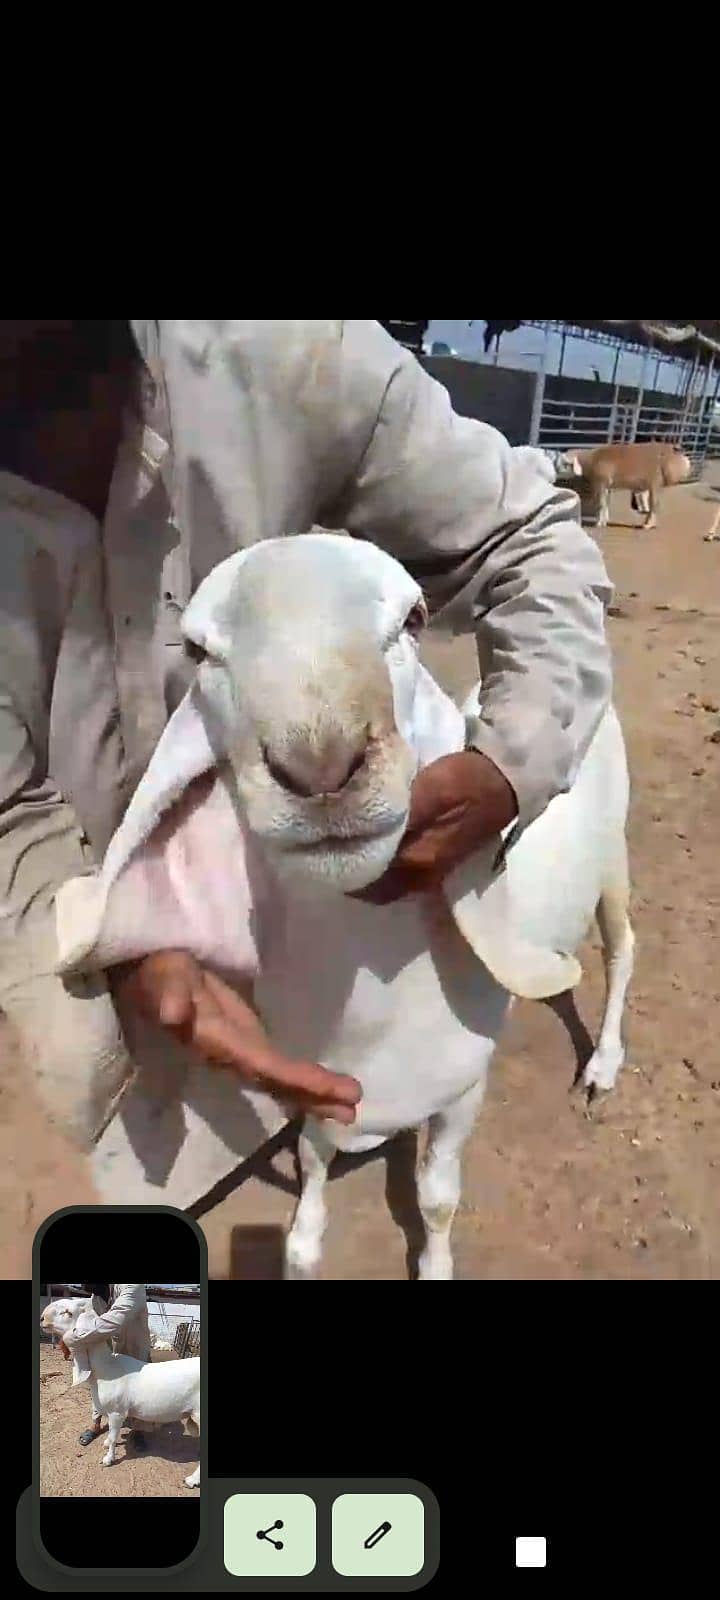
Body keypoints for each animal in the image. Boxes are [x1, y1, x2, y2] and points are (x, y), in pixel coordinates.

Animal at [40, 1297, 200, 1486]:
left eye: (68, 1313)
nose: (42, 1319)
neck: (107, 1367)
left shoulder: (117, 1412)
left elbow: (114, 1436)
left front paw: (108, 1459)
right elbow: (110, 1434)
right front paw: (106, 1443)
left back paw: (191, 1480)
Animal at [555, 441, 691, 530]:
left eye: (565, 463)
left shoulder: (601, 482)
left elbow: (601, 504)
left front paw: (599, 524)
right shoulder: (607, 486)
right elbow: (606, 503)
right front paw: (605, 521)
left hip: (656, 481)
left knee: (654, 504)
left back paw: (647, 525)